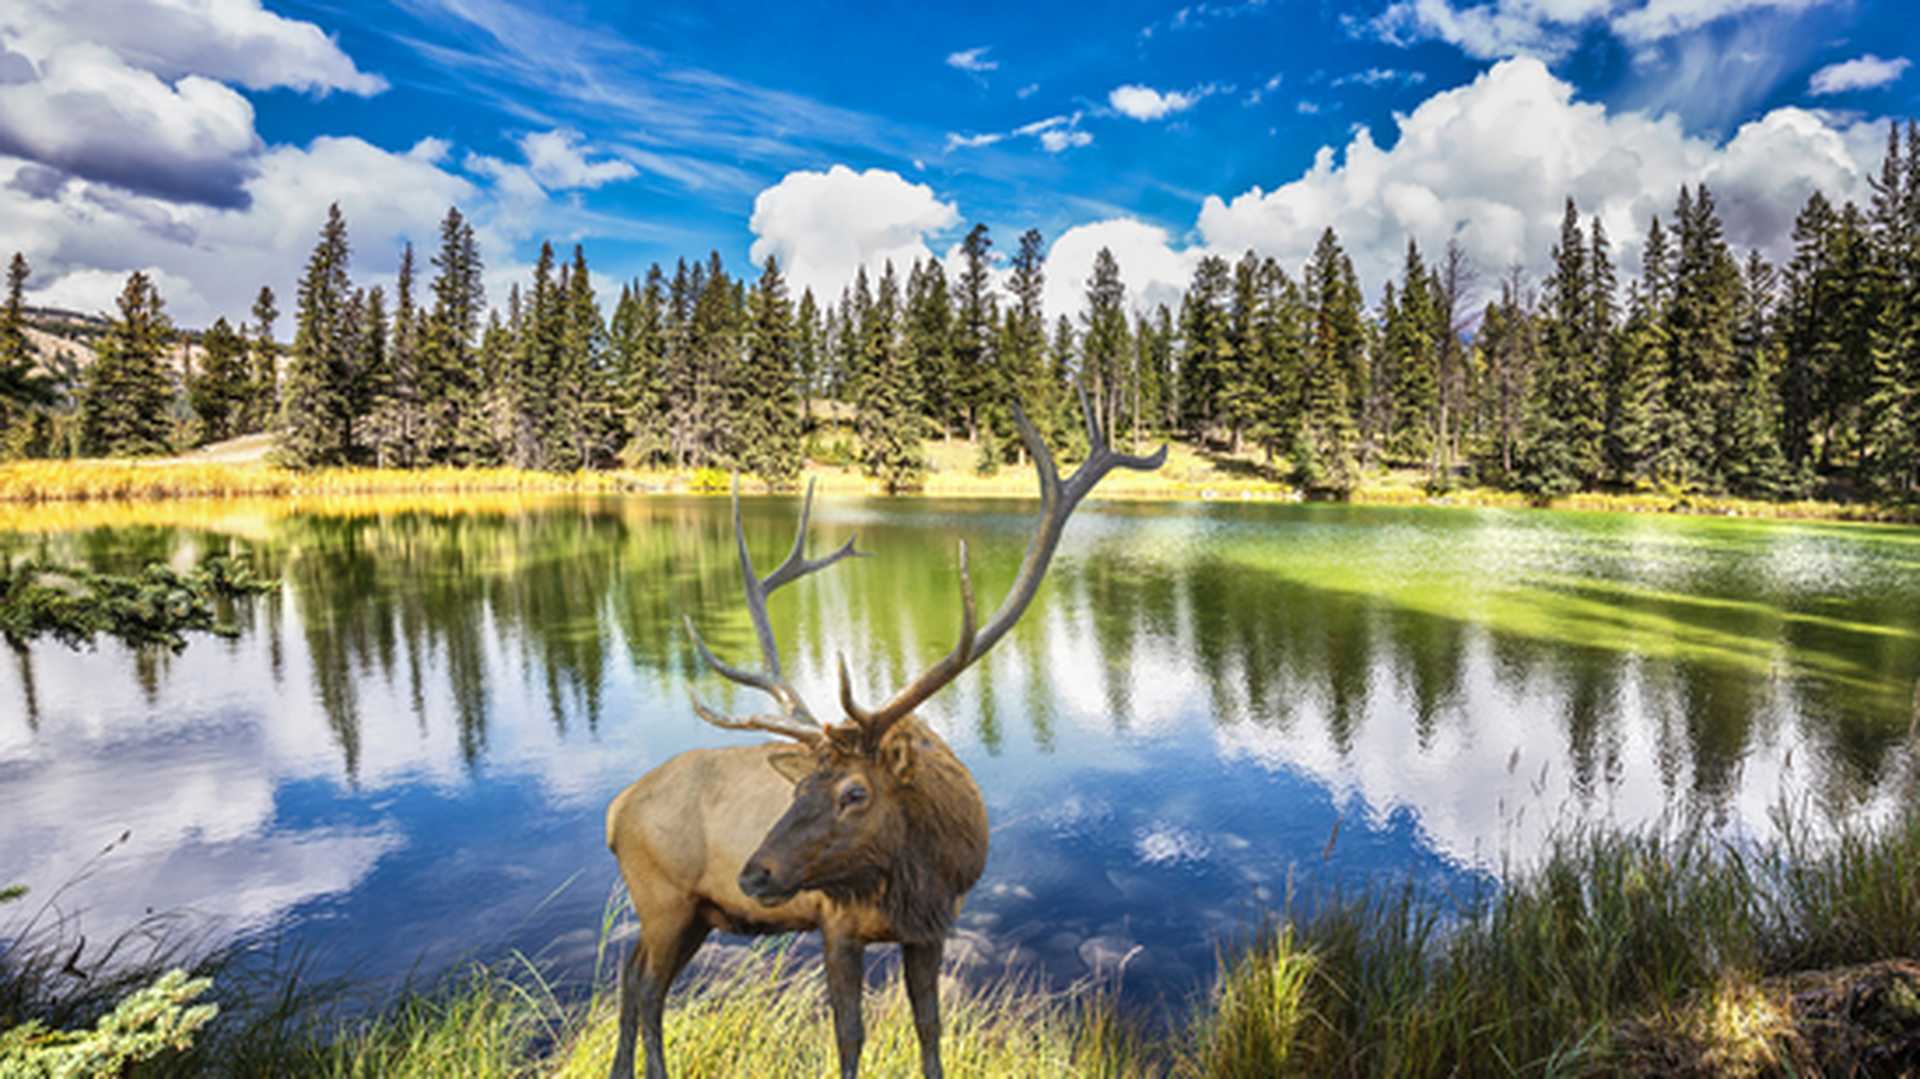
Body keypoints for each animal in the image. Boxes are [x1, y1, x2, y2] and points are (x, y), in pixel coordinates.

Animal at [603, 392, 1165, 1079]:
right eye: (798, 791)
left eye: (855, 793)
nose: (754, 874)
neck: (916, 873)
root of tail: (616, 812)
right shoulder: (836, 923)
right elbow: (849, 1036)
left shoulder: (933, 928)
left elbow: (930, 1027)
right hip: (665, 898)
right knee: (648, 987)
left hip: (691, 914)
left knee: (630, 975)